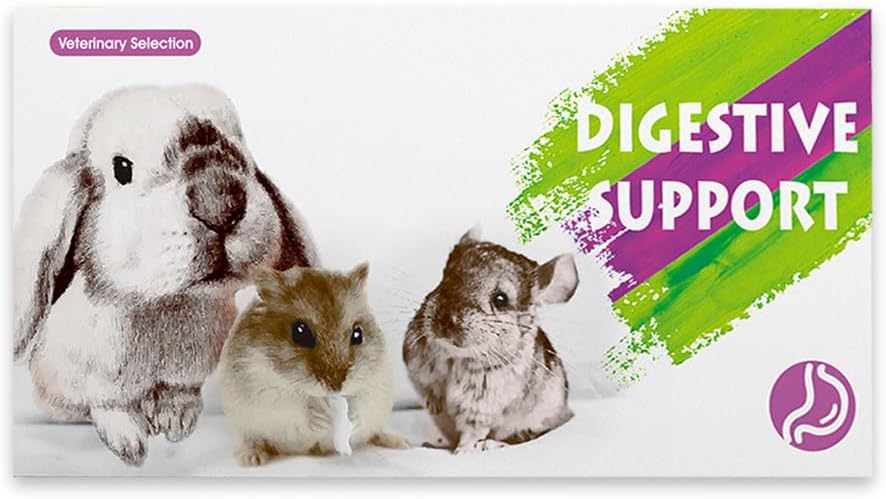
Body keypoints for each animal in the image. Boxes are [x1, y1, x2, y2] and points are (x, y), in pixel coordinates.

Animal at [13, 85, 318, 466]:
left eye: (242, 152)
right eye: (121, 168)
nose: (220, 203)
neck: (164, 306)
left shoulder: (185, 372)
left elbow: (180, 392)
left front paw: (177, 422)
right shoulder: (92, 375)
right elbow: (108, 406)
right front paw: (130, 445)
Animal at [219, 264, 409, 466]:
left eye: (358, 333)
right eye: (300, 332)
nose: (335, 387)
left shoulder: (377, 382)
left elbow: (362, 401)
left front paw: (352, 417)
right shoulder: (263, 391)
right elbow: (296, 405)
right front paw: (321, 418)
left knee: (376, 431)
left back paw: (402, 443)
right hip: (243, 424)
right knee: (251, 440)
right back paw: (252, 459)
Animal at [402, 227, 577, 454]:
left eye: (501, 299)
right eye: (445, 279)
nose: (444, 320)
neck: (456, 358)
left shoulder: (482, 406)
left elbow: (472, 432)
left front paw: (463, 451)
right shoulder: (415, 367)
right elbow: (427, 389)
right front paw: (435, 405)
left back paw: (491, 445)